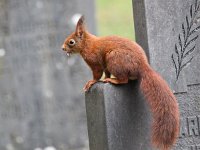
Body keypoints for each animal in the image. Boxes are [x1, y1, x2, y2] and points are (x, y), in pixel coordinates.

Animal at [61, 16, 180, 150]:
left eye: (71, 42)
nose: (62, 48)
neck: (88, 44)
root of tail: (142, 65)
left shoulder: (95, 62)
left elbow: (97, 74)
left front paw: (91, 82)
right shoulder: (105, 66)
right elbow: (106, 72)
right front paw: (104, 78)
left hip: (114, 58)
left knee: (124, 80)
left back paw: (113, 80)